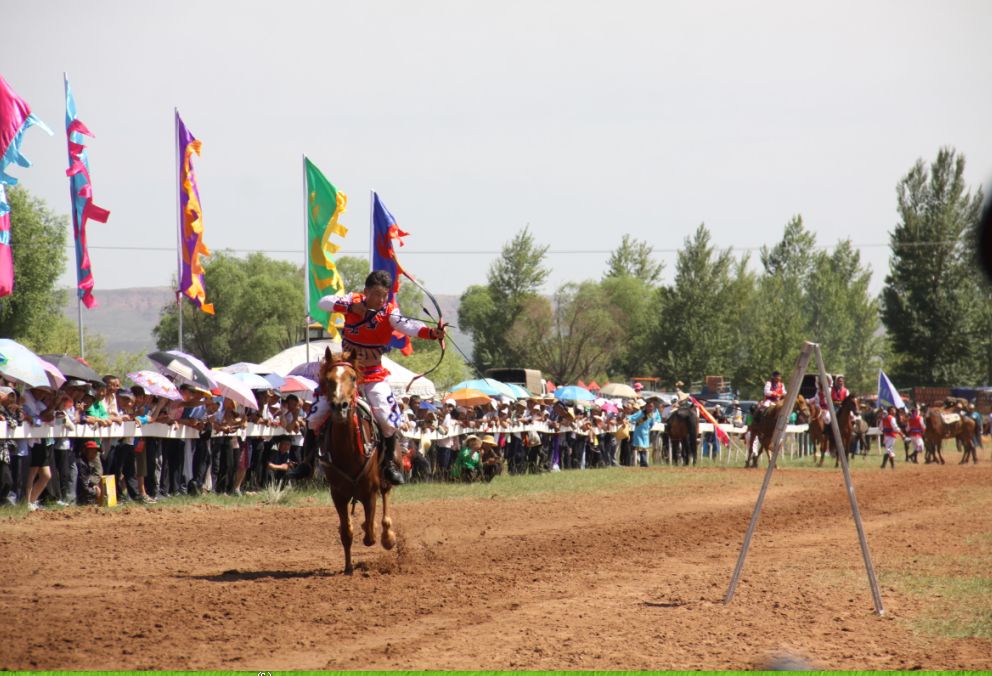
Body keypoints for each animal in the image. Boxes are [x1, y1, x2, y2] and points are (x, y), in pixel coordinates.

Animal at [318, 348, 396, 576]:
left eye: (352, 377)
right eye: (328, 380)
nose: (340, 407)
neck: (348, 451)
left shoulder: (370, 490)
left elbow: (370, 534)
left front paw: (380, 535)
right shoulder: (338, 494)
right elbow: (346, 531)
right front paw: (348, 567)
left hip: (384, 477)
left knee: (385, 497)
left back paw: (388, 535)